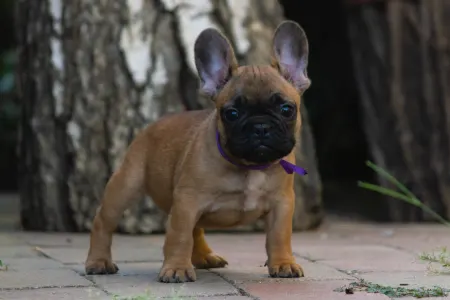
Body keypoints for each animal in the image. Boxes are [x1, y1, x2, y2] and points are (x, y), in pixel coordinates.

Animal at [84, 19, 312, 282]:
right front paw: (176, 268)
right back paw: (99, 261)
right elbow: (179, 236)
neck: (249, 166)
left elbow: (279, 236)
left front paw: (284, 263)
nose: (260, 126)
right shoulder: (187, 203)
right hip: (126, 184)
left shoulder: (281, 205)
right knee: (103, 221)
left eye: (287, 109)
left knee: (197, 230)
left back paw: (204, 257)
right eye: (231, 113)